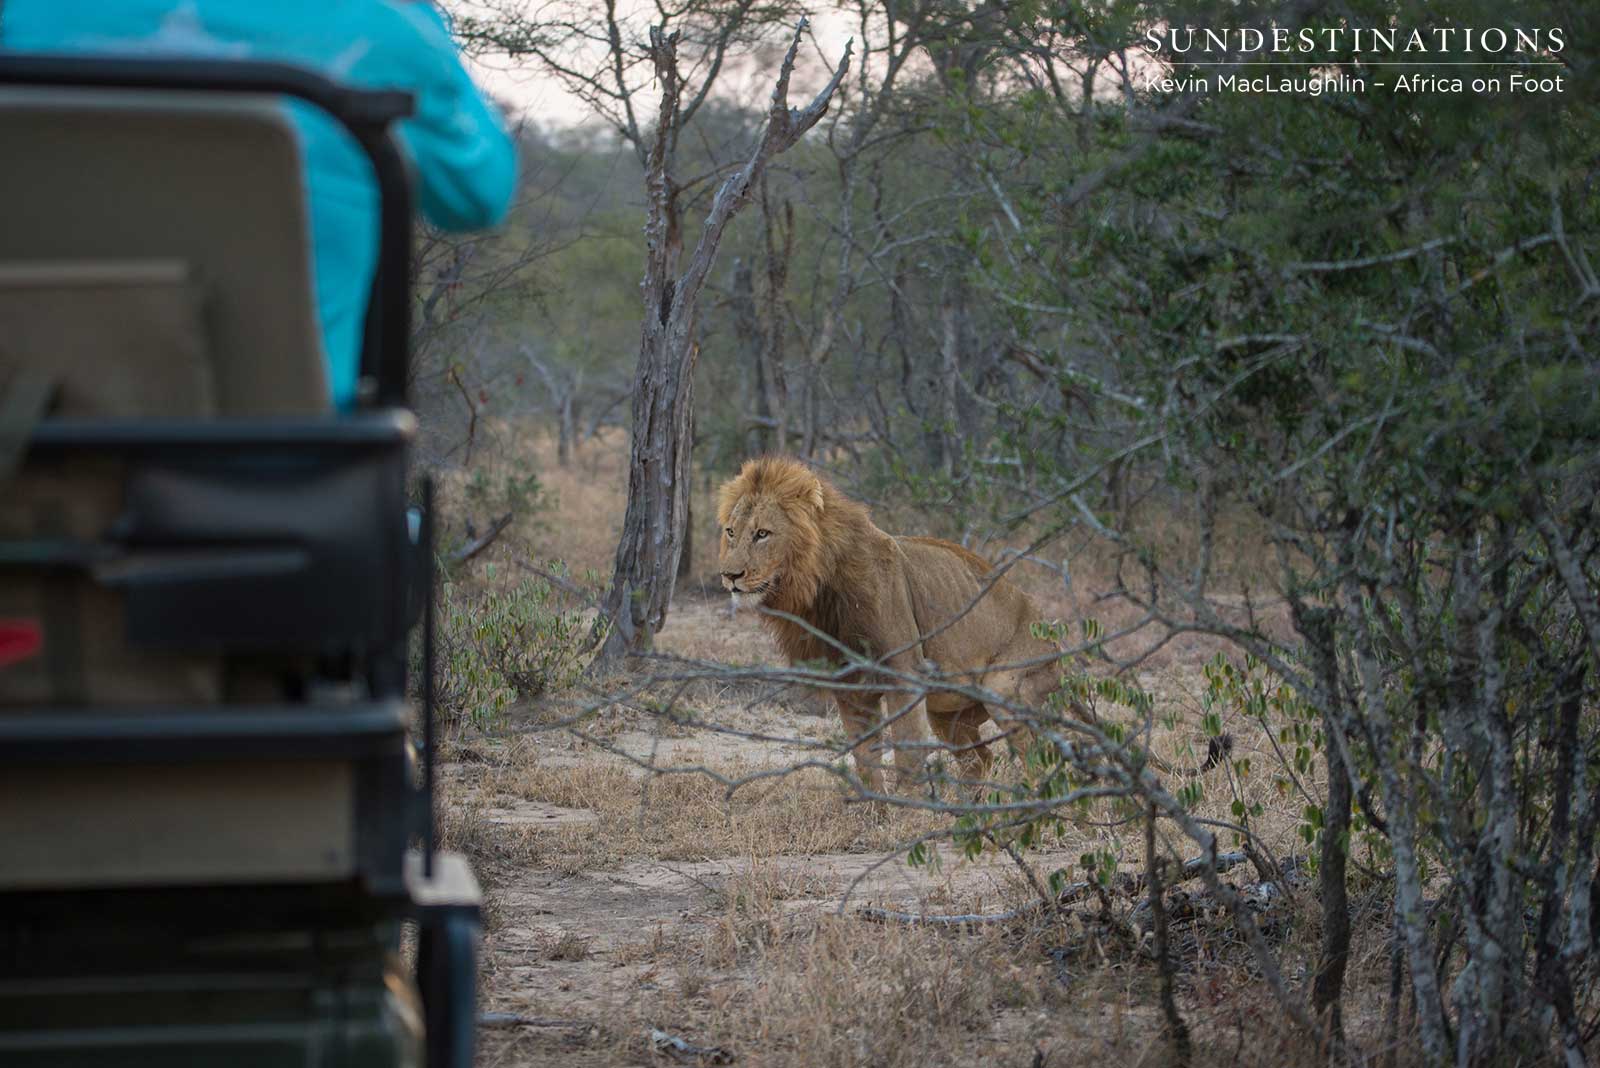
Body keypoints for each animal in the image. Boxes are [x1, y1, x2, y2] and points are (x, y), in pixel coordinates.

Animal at [716, 456, 1065, 792]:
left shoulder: (905, 674)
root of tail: (1053, 635)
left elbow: (907, 758)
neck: (817, 589)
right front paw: (875, 810)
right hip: (947, 713)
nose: (729, 575)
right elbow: (865, 761)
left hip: (1005, 688)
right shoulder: (851, 686)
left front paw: (910, 808)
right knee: (980, 760)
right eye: (731, 532)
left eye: (762, 534)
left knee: (1040, 757)